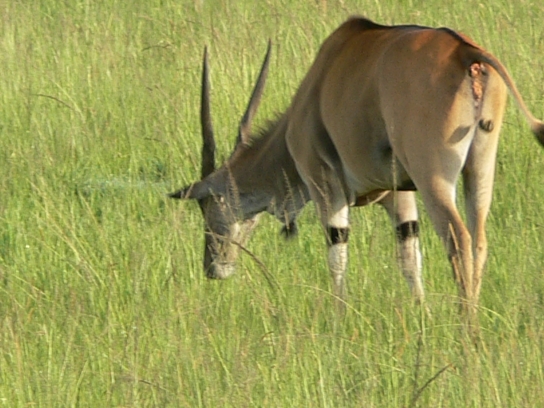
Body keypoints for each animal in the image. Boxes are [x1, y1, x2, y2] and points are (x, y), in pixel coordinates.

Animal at [170, 17, 544, 314]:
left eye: (209, 207)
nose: (213, 267)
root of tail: (464, 52)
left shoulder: (325, 186)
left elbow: (337, 255)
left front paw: (339, 319)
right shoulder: (399, 195)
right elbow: (410, 257)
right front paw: (421, 314)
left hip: (433, 178)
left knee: (459, 239)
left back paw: (467, 328)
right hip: (478, 171)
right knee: (479, 239)